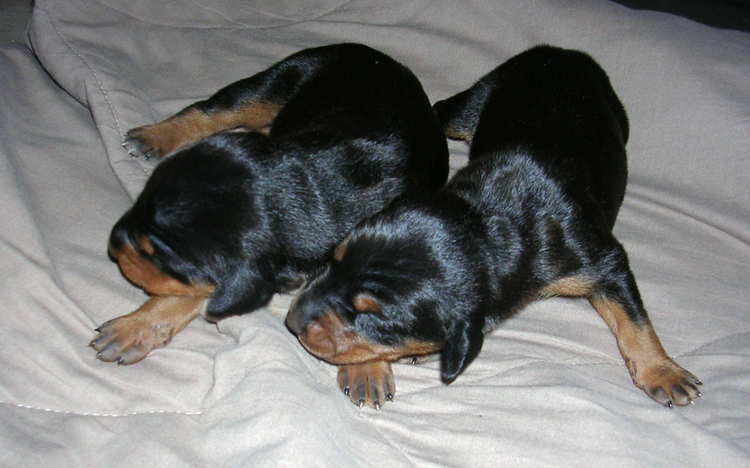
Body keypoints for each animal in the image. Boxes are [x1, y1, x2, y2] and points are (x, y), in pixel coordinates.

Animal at [91, 43, 450, 366]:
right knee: (215, 110)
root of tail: (378, 57)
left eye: (151, 252)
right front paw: (134, 327)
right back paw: (154, 136)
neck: (302, 190)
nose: (112, 246)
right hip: (281, 79)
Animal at [288, 44, 704, 410]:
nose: (291, 320)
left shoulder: (601, 258)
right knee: (442, 109)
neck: (488, 220)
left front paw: (664, 372)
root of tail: (563, 52)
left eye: (375, 316)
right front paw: (367, 370)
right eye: (334, 260)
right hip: (474, 101)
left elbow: (634, 319)